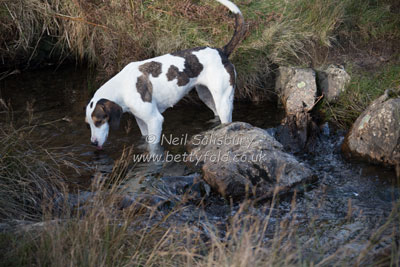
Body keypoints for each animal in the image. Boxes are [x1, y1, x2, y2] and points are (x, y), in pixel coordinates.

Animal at [85, 0, 245, 150]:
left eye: (99, 121)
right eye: (88, 124)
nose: (93, 143)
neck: (122, 87)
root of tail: (221, 51)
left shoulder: (154, 120)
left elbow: (153, 147)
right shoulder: (142, 122)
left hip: (223, 102)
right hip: (206, 96)